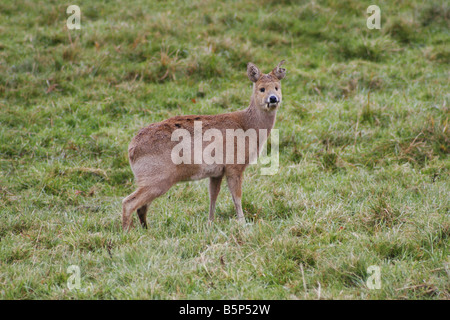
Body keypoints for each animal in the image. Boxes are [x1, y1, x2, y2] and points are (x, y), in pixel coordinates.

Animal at [121, 60, 286, 230]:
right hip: (157, 177)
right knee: (129, 202)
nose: (273, 98)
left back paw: (145, 229)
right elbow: (237, 196)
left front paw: (210, 222)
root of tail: (131, 149)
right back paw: (127, 231)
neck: (248, 126)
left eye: (277, 87)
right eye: (261, 88)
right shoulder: (234, 166)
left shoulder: (217, 172)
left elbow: (213, 195)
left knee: (141, 206)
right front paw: (242, 223)